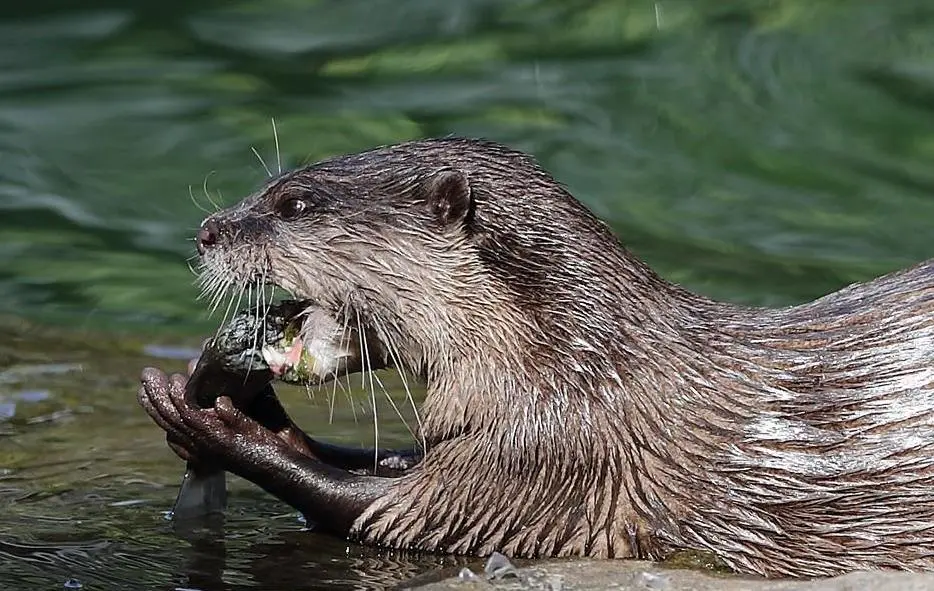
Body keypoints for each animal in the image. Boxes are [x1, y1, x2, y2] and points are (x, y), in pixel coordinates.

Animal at [137, 138, 934, 580]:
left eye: (295, 204)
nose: (207, 230)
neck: (576, 363)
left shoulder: (552, 451)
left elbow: (383, 505)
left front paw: (217, 425)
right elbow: (376, 459)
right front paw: (237, 399)